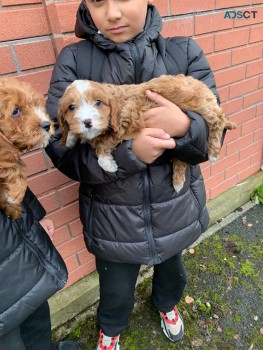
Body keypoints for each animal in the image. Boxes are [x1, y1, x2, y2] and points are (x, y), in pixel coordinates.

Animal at [0, 78, 54, 219]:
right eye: (15, 111)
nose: (47, 124)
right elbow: (15, 166)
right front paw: (14, 197)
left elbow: (19, 165)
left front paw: (12, 206)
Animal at [58, 74, 237, 191]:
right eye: (71, 107)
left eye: (98, 103)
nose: (87, 122)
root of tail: (203, 86)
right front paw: (70, 138)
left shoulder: (128, 121)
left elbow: (103, 143)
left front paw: (108, 164)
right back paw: (178, 181)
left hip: (199, 104)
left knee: (218, 119)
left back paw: (213, 152)